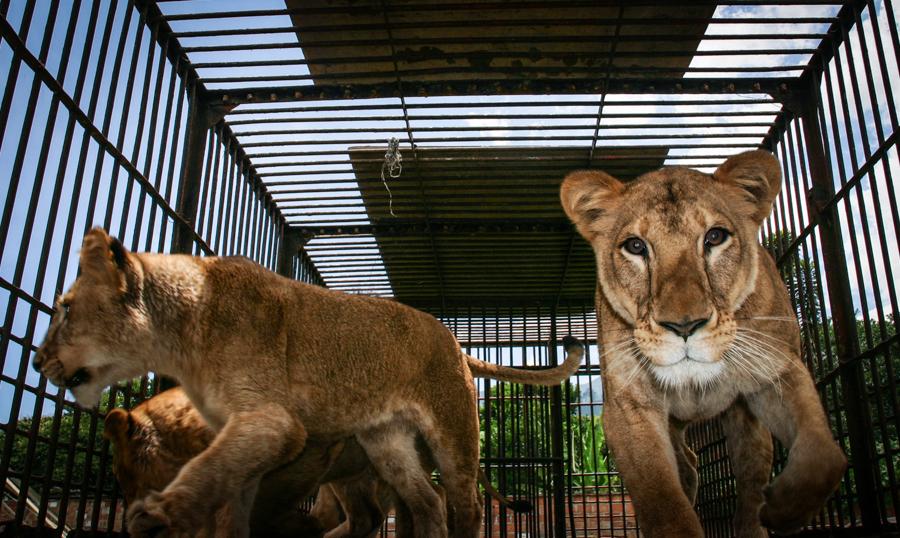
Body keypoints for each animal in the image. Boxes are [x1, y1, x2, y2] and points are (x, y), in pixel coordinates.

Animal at [560, 149, 848, 532]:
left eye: (715, 237)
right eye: (635, 246)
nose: (684, 326)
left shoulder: (777, 372)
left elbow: (825, 452)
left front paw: (784, 509)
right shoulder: (630, 406)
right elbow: (667, 511)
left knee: (750, 470)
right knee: (687, 463)